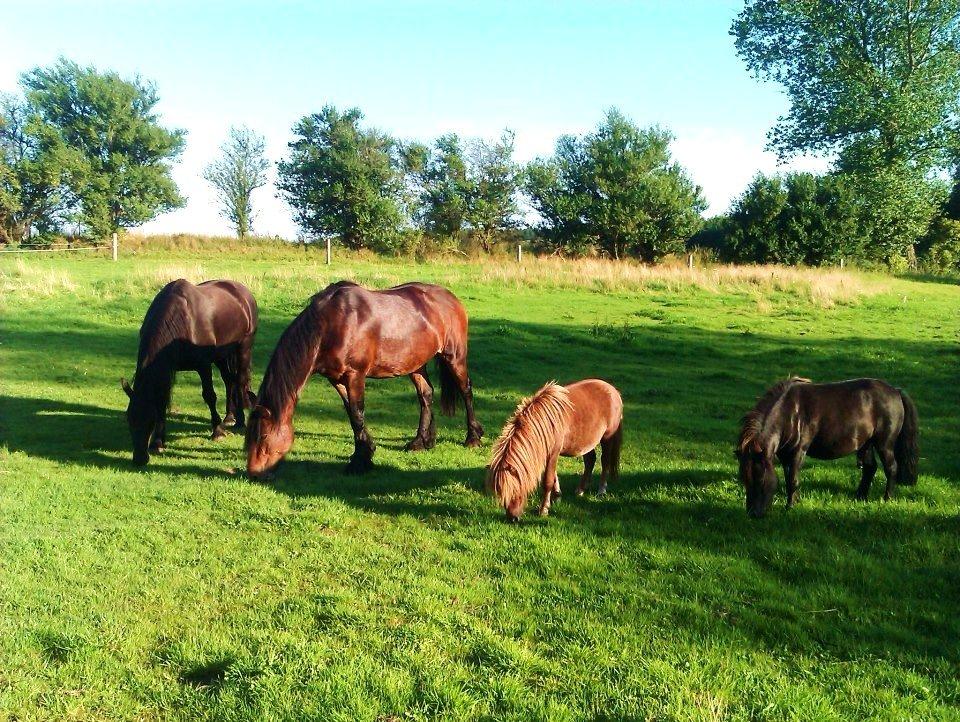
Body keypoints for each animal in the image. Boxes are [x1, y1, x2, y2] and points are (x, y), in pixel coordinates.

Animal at [122, 278, 260, 464]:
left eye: (150, 420)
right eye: (129, 420)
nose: (139, 459)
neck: (181, 321)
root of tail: (242, 292)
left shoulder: (203, 365)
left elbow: (209, 396)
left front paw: (217, 432)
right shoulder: (168, 368)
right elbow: (162, 401)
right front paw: (158, 442)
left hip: (243, 348)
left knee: (239, 381)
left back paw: (239, 421)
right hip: (222, 355)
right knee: (229, 380)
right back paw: (230, 417)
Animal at [248, 282, 488, 478]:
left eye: (263, 437)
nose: (254, 474)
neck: (332, 324)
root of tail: (451, 298)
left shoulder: (355, 375)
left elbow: (357, 413)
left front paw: (359, 462)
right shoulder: (336, 379)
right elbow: (351, 415)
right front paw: (366, 452)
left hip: (454, 356)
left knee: (466, 390)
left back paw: (473, 438)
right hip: (416, 364)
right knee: (426, 395)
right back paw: (421, 441)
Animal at [488, 376, 624, 516]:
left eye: (515, 489)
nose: (512, 517)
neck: (546, 422)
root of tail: (613, 391)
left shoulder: (553, 453)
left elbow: (548, 480)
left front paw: (544, 509)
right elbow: (553, 476)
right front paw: (557, 496)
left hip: (607, 438)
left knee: (605, 461)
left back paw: (601, 491)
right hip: (586, 442)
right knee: (590, 461)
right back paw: (580, 490)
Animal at [740, 374, 920, 516]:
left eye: (760, 477)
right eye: (745, 479)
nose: (753, 514)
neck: (790, 412)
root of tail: (895, 391)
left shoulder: (798, 451)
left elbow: (793, 480)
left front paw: (790, 507)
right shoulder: (785, 455)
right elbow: (789, 478)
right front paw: (795, 501)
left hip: (884, 444)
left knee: (891, 468)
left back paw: (887, 498)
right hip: (866, 443)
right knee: (870, 468)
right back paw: (860, 497)